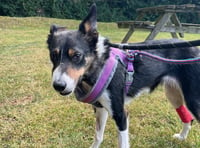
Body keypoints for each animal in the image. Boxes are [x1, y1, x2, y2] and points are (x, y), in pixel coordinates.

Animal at [46, 3, 198, 148]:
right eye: (53, 55)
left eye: (77, 55)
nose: (58, 85)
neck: (99, 65)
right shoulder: (100, 109)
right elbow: (98, 136)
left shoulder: (121, 115)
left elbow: (122, 143)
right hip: (173, 93)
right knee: (187, 117)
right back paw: (182, 137)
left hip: (193, 99)